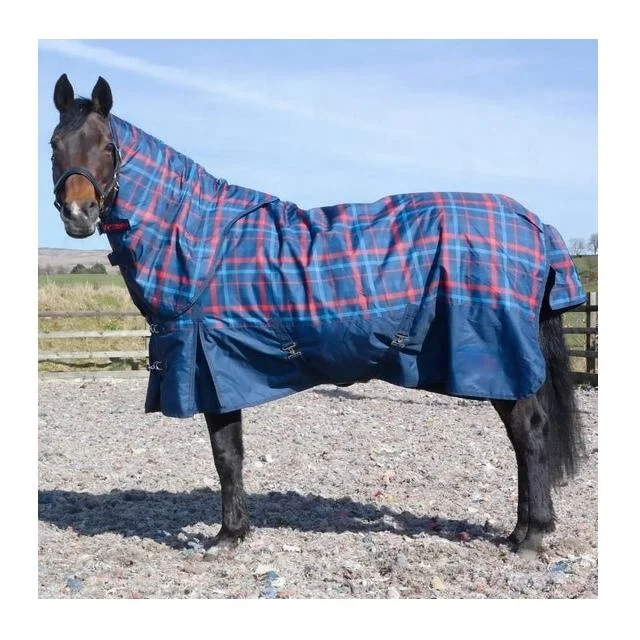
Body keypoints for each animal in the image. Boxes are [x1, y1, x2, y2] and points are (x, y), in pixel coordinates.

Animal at [49, 74, 586, 558]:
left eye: (108, 146)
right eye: (55, 144)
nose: (78, 214)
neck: (196, 239)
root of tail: (535, 225)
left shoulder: (209, 367)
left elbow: (226, 455)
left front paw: (227, 536)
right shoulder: (216, 370)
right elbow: (231, 453)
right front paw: (236, 531)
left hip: (499, 362)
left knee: (529, 434)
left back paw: (531, 536)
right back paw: (520, 531)